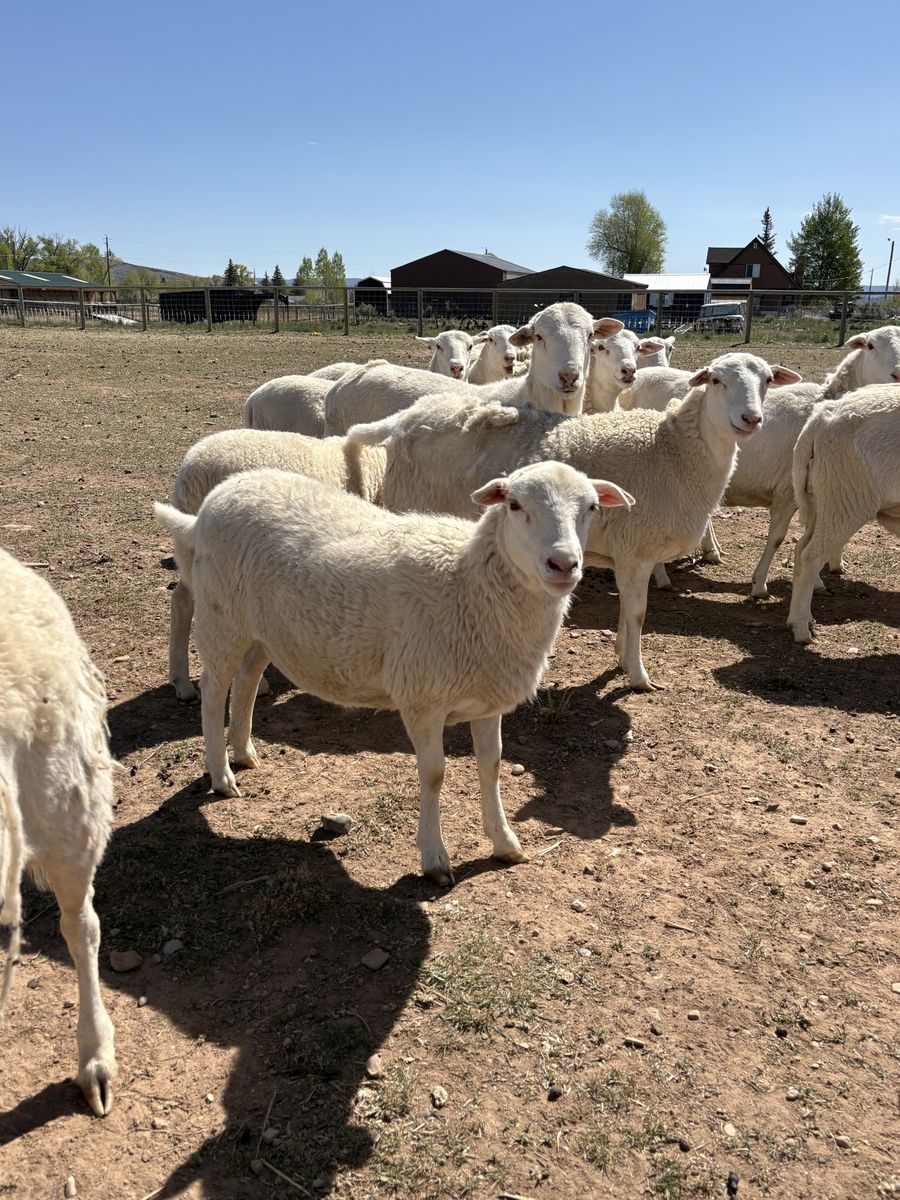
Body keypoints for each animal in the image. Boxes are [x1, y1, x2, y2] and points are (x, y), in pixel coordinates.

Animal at [154, 463, 633, 884]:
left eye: (591, 507)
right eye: (514, 505)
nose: (564, 564)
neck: (468, 583)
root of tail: (210, 505)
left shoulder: (486, 696)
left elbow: (492, 765)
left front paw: (505, 843)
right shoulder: (423, 698)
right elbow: (434, 774)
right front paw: (434, 859)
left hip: (263, 631)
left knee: (249, 679)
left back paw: (244, 750)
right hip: (222, 616)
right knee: (215, 689)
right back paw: (221, 773)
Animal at [348, 352, 788, 690]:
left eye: (767, 380)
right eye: (716, 380)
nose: (751, 419)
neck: (672, 452)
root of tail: (408, 417)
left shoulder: (630, 554)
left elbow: (626, 612)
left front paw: (621, 657)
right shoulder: (636, 551)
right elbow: (638, 613)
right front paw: (639, 677)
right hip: (412, 505)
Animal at [788, 385, 900, 643]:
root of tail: (820, 417)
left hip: (823, 498)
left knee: (801, 548)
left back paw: (802, 618)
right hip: (845, 494)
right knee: (811, 556)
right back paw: (801, 629)